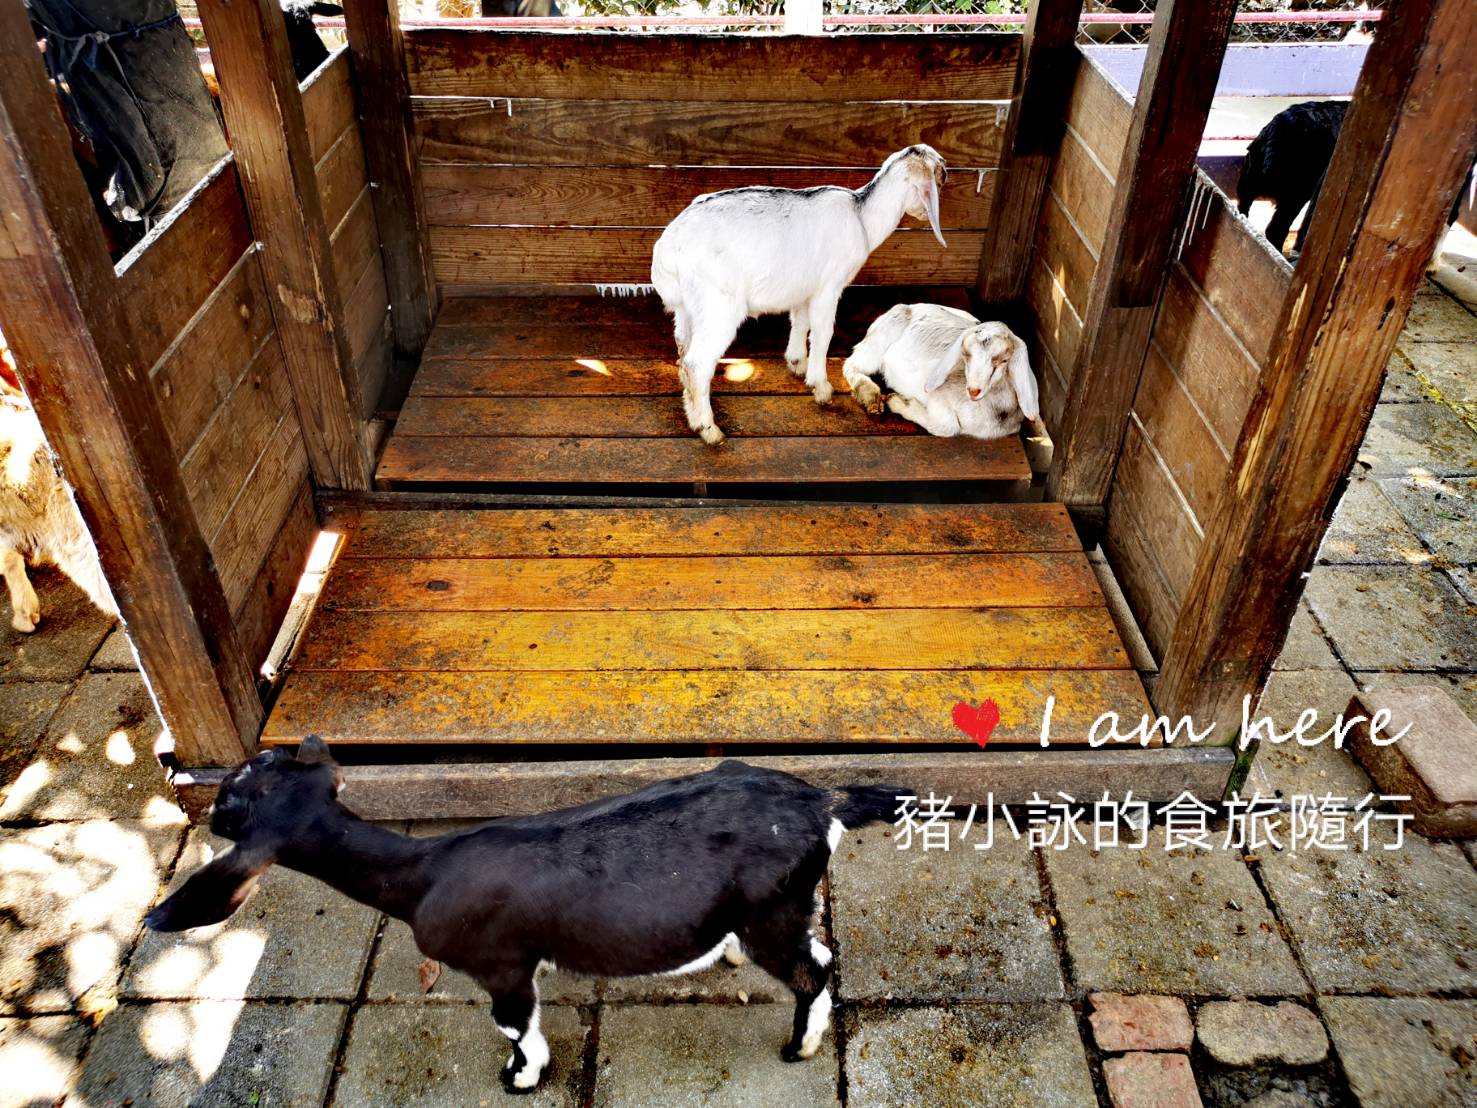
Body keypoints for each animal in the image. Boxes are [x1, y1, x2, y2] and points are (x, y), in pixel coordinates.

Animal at [145, 740, 904, 1093]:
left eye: (231, 799)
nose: (209, 811)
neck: (420, 874)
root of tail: (822, 803)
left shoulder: (501, 961)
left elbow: (514, 1025)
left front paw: (521, 1079)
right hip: (780, 904)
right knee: (816, 955)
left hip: (771, 908)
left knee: (812, 972)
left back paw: (799, 1047)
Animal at [651, 145, 948, 444]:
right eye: (941, 174)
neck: (863, 217)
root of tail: (669, 244)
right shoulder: (829, 286)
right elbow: (823, 332)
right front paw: (822, 387)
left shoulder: (805, 288)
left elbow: (800, 322)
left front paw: (797, 363)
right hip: (718, 305)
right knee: (697, 362)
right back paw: (708, 429)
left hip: (688, 307)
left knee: (682, 347)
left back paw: (691, 409)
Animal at [842, 305, 1039, 440]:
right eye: (965, 355)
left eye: (1004, 360)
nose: (973, 390)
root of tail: (911, 306)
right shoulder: (938, 396)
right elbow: (948, 427)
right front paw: (898, 401)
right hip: (885, 333)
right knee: (852, 365)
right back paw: (872, 398)